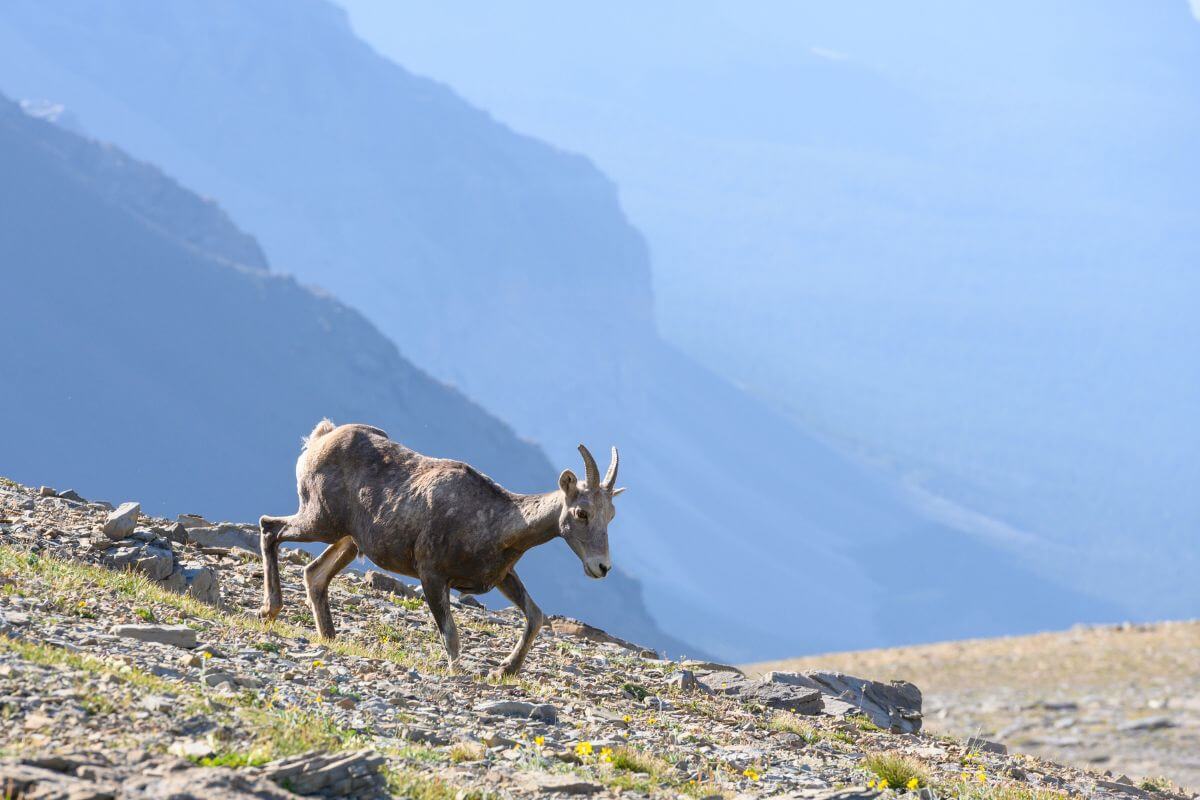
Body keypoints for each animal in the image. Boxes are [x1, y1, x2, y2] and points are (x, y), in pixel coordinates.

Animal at [258, 419, 623, 678]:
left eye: (611, 514)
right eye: (581, 512)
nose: (602, 567)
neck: (495, 521)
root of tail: (319, 439)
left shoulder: (501, 576)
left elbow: (535, 615)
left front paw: (505, 670)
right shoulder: (432, 575)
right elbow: (451, 634)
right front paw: (459, 671)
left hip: (348, 541)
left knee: (314, 573)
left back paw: (329, 636)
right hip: (320, 520)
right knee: (269, 528)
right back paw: (270, 610)